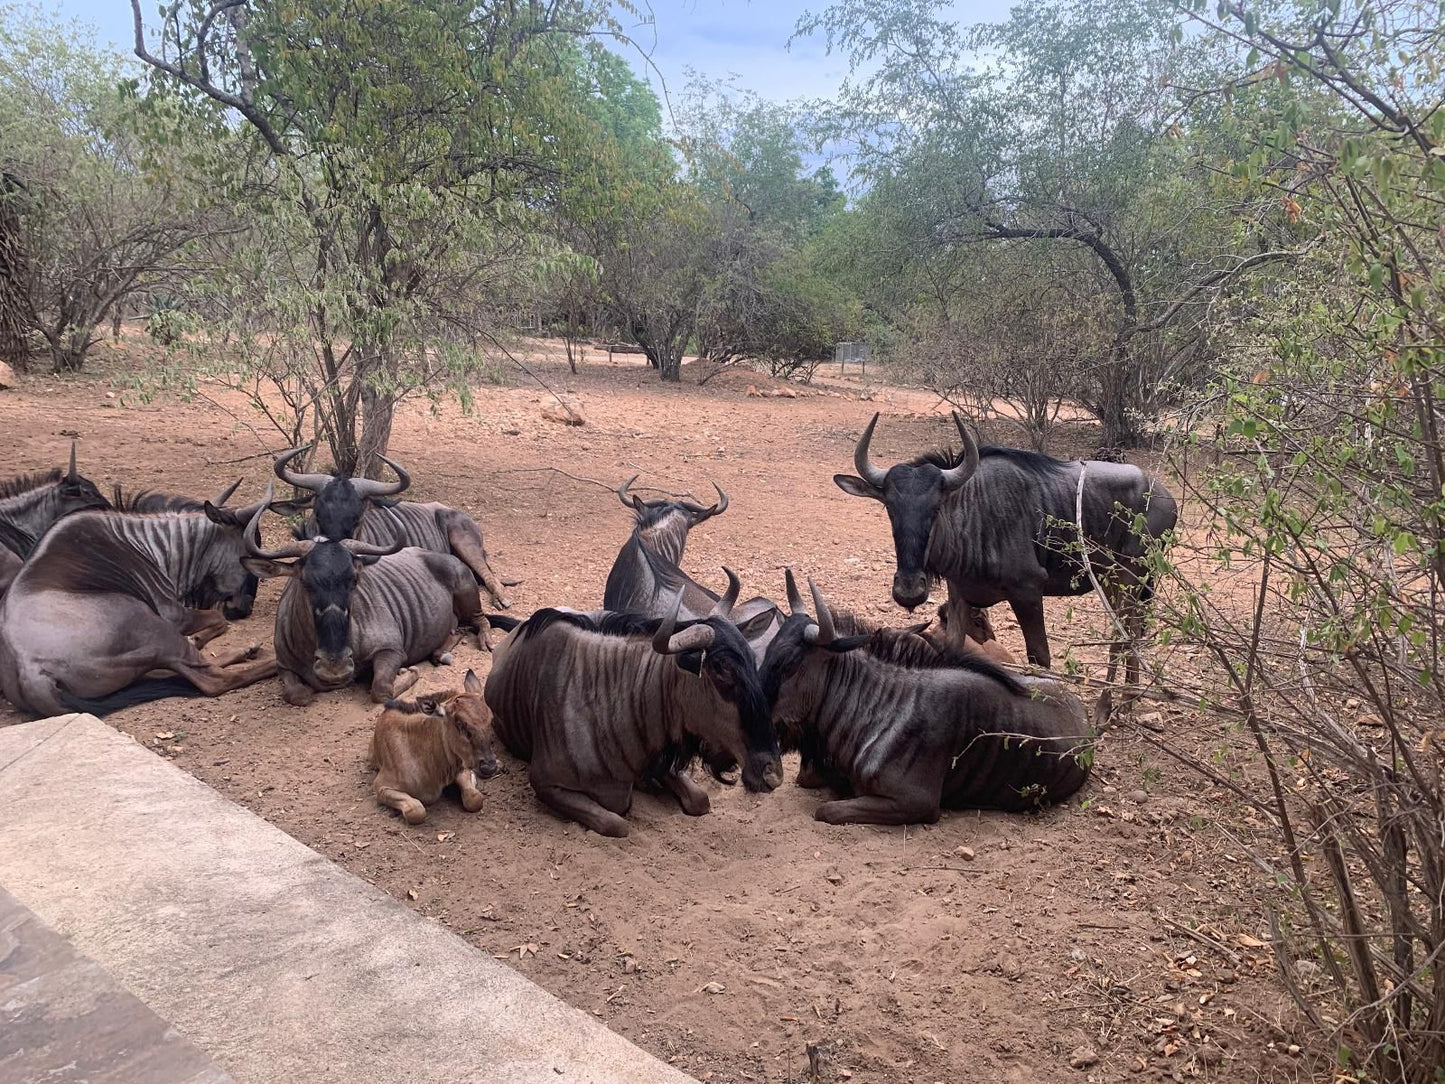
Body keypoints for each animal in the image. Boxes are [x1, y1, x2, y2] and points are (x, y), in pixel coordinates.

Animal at [369, 670, 499, 820]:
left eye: (491, 719)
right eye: (459, 723)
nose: (489, 767)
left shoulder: (462, 767)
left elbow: (475, 799)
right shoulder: (381, 786)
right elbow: (417, 811)